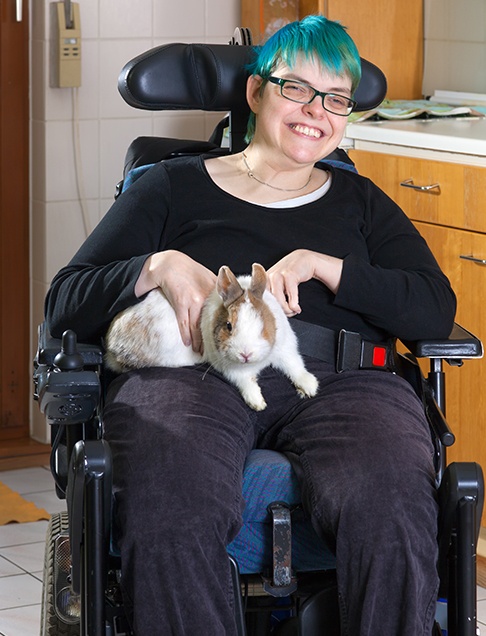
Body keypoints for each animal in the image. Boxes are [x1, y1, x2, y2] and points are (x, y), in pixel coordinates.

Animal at [104, 260, 318, 410]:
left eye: (263, 323)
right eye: (229, 325)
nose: (245, 354)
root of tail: (111, 346)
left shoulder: (286, 349)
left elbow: (295, 366)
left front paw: (310, 387)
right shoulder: (234, 370)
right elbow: (247, 382)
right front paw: (257, 402)